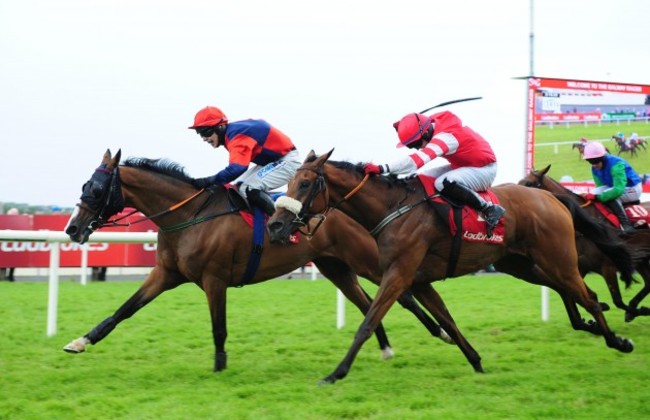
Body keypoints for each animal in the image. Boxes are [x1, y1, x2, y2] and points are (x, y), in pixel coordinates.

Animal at [62, 149, 486, 372]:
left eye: (96, 188)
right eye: (84, 185)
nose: (72, 228)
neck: (188, 215)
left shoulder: (214, 279)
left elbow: (219, 327)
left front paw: (219, 367)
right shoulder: (166, 273)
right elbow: (123, 311)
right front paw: (80, 341)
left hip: (369, 260)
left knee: (403, 296)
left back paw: (442, 333)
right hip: (334, 266)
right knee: (368, 302)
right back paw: (385, 347)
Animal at [266, 150, 636, 384]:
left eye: (304, 184)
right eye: (288, 183)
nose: (275, 225)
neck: (393, 207)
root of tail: (552, 196)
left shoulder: (398, 274)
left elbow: (367, 323)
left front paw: (335, 373)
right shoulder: (417, 280)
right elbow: (447, 319)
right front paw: (477, 362)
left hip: (557, 257)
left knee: (588, 295)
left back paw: (617, 341)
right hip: (519, 263)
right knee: (569, 290)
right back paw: (591, 326)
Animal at [520, 164, 650, 322]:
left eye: (529, 183)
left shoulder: (608, 267)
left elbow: (617, 301)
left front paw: (639, 311)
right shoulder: (579, 268)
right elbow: (575, 294)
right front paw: (602, 307)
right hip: (641, 259)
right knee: (649, 283)